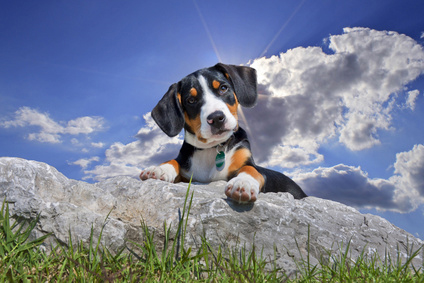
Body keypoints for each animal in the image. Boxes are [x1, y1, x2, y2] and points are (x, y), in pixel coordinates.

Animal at [141, 63, 306, 203]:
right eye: (191, 100)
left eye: (223, 88)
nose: (216, 118)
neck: (213, 149)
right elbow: (174, 160)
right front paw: (159, 169)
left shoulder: (249, 163)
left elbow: (250, 169)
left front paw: (242, 183)